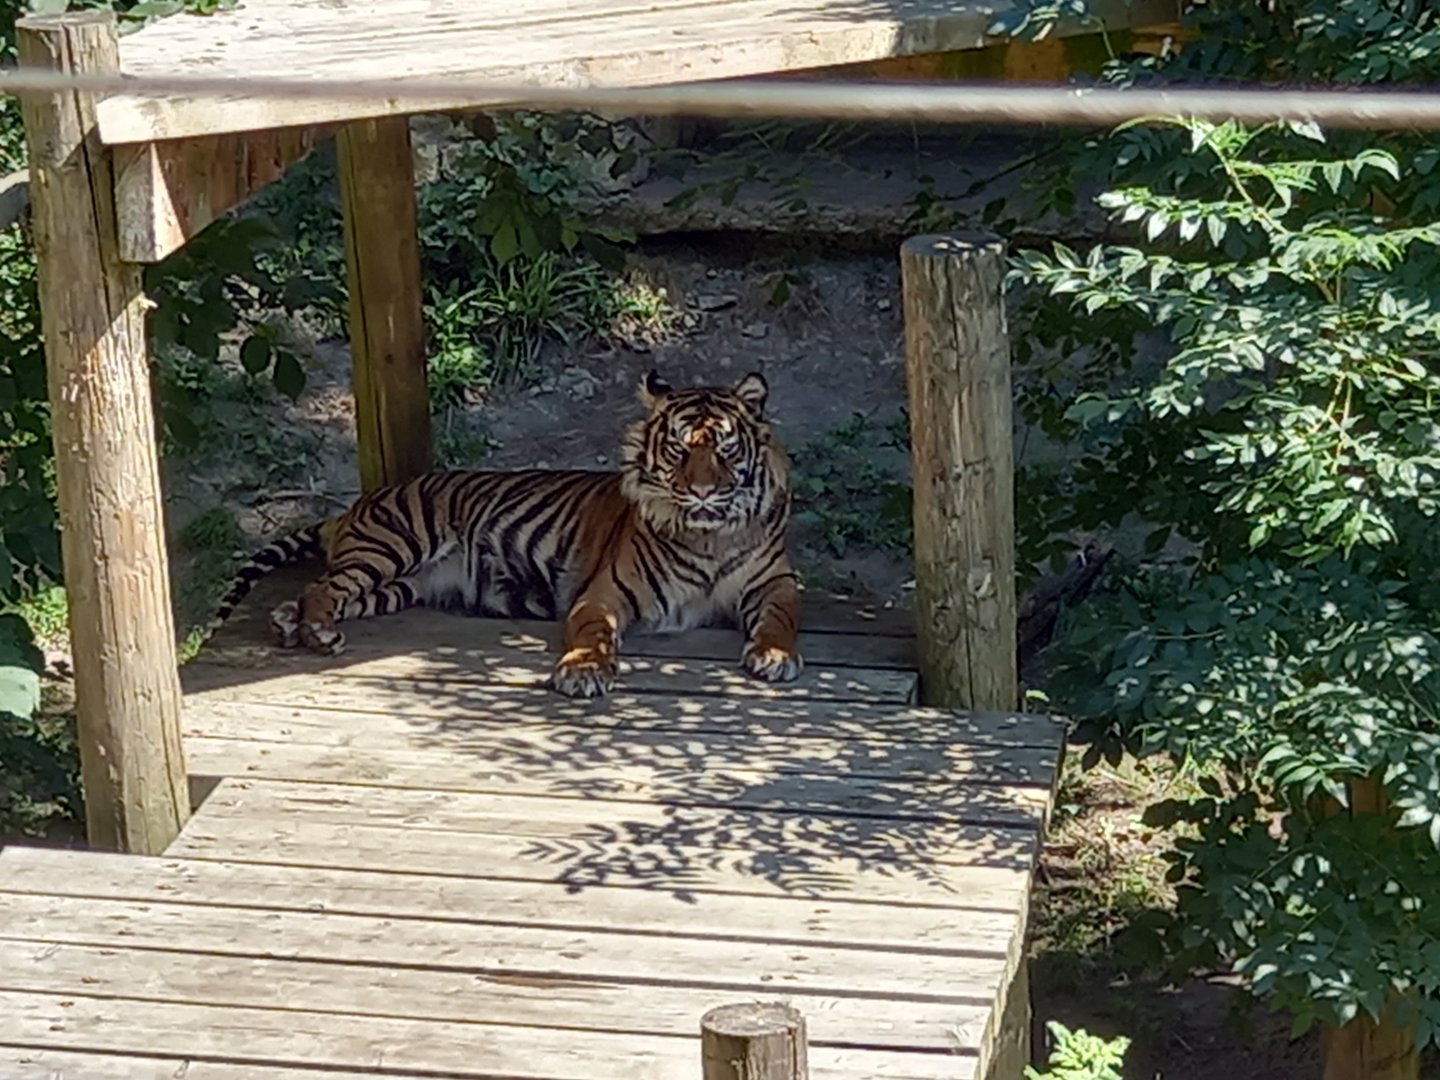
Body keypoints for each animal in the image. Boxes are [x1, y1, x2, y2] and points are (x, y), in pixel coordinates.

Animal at [209, 369, 803, 699]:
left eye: (724, 447)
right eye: (679, 448)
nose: (701, 491)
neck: (708, 536)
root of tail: (355, 505)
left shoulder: (775, 585)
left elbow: (780, 620)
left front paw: (775, 657)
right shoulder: (603, 595)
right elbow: (592, 634)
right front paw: (583, 673)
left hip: (400, 586)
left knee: (332, 593)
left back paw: (291, 623)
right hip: (393, 545)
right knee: (322, 586)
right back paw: (314, 630)